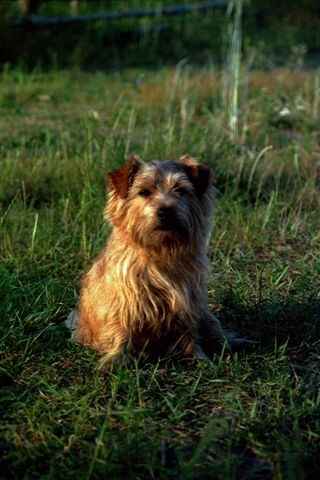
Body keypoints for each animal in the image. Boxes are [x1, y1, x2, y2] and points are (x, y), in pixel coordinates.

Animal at [67, 155, 230, 364]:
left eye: (180, 190)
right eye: (144, 192)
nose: (166, 210)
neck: (161, 250)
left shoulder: (189, 299)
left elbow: (189, 331)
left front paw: (198, 357)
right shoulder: (124, 299)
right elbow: (120, 328)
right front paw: (115, 359)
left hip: (207, 316)